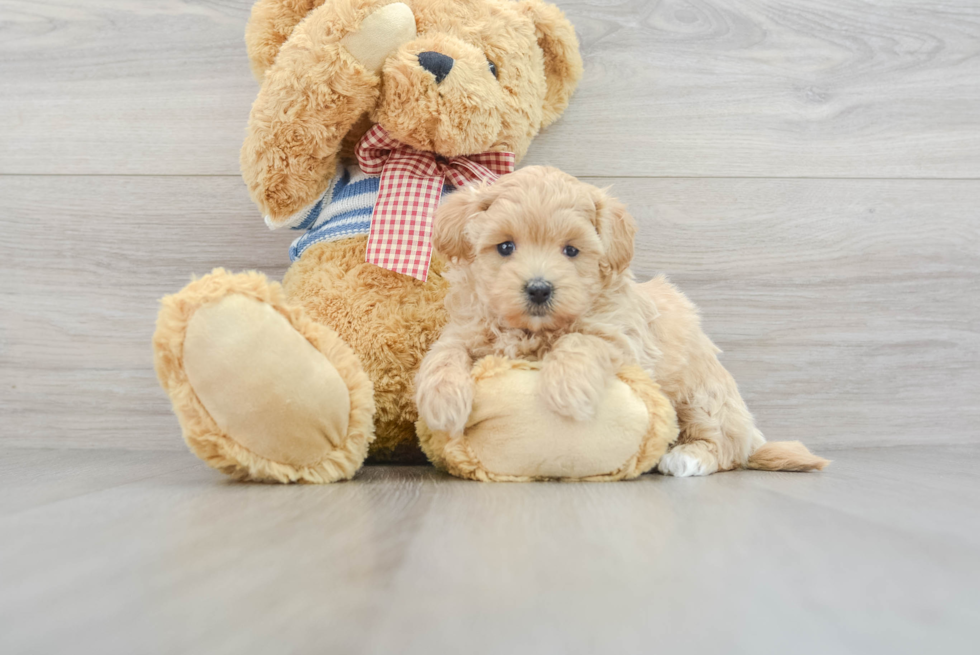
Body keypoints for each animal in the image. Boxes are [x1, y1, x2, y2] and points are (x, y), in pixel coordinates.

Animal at [414, 165, 828, 476]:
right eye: (505, 247)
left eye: (571, 251)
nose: (539, 289)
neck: (535, 330)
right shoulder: (466, 329)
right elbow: (442, 354)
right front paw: (441, 402)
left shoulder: (622, 337)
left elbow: (581, 340)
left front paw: (566, 389)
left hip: (702, 394)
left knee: (725, 444)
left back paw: (687, 457)